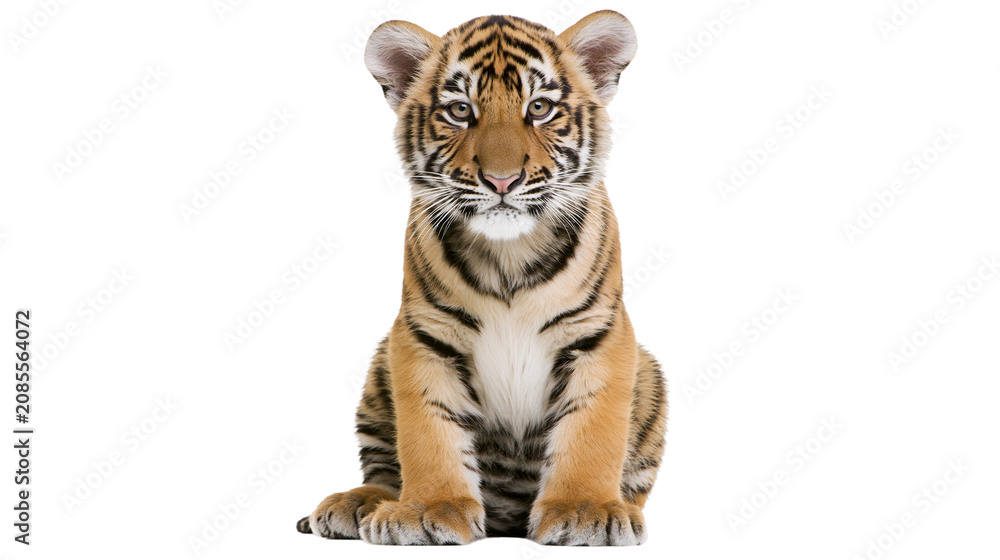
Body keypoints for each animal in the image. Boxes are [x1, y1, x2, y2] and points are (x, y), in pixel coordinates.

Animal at [297, 10, 667, 546]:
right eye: (459, 111)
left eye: (539, 108)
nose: (501, 180)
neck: (509, 253)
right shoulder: (423, 336)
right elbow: (428, 433)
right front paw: (429, 510)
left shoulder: (600, 334)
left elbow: (593, 432)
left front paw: (585, 511)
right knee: (384, 469)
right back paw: (359, 504)